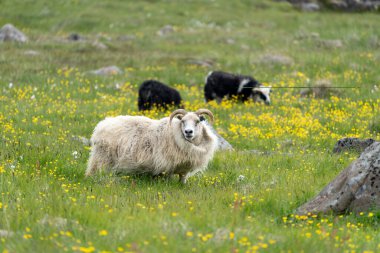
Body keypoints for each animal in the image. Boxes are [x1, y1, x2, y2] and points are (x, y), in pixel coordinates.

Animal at [85, 107, 218, 183]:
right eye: (183, 121)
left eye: (197, 121)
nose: (188, 132)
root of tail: (101, 125)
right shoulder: (167, 165)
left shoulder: (184, 168)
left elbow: (182, 180)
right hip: (102, 159)